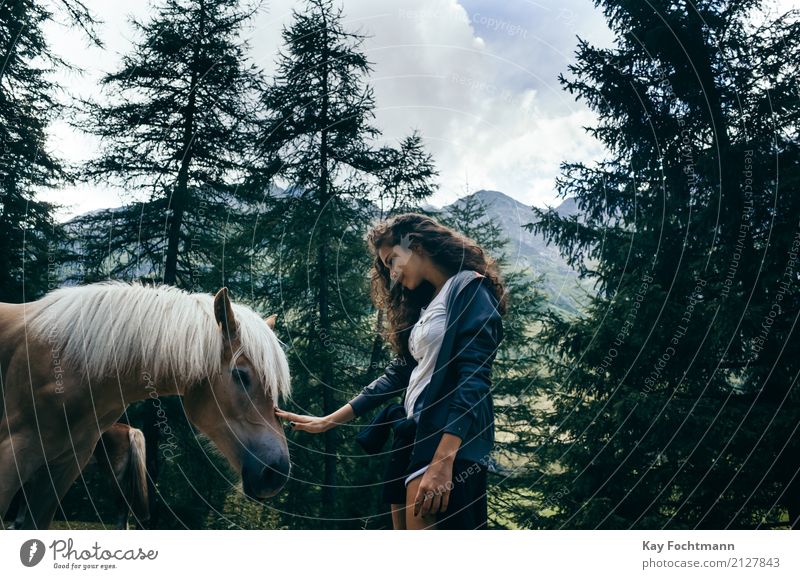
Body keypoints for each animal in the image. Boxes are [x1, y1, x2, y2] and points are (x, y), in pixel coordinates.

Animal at [9, 422, 150, 532]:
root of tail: (129, 429)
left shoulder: (31, 478)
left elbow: (24, 499)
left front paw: (18, 523)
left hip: (115, 477)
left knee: (122, 502)